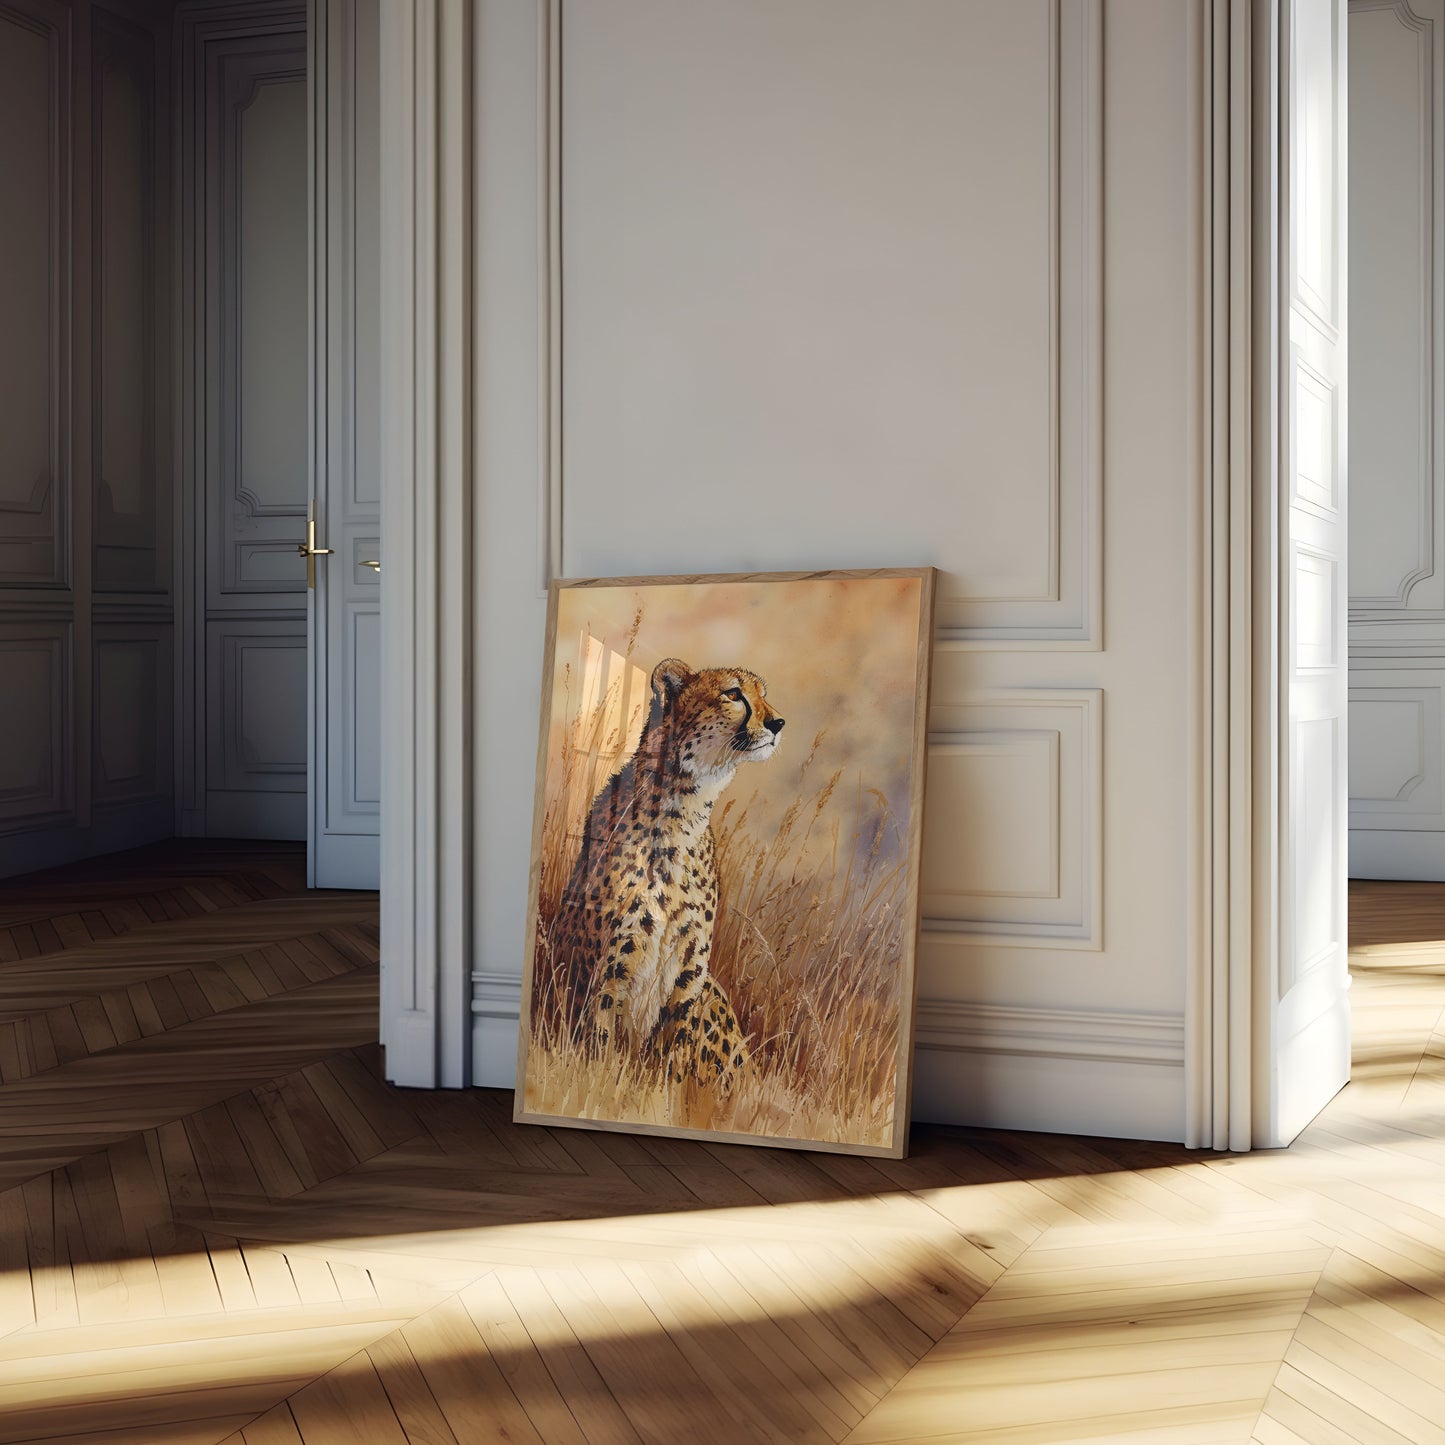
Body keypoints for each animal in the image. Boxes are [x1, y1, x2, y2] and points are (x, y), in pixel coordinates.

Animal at [547, 656, 785, 1090]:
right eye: (733, 693)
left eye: (763, 693)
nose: (778, 723)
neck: (681, 811)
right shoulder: (607, 974)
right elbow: (599, 1050)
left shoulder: (690, 976)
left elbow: (668, 1058)